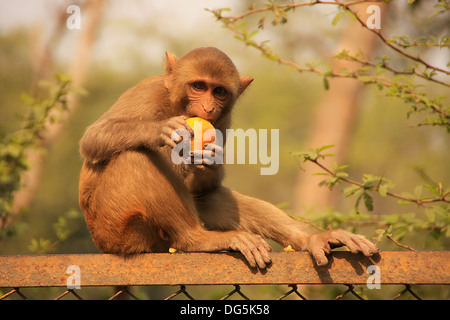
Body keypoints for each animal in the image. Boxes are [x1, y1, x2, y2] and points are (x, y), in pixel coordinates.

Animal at [79, 46, 378, 268]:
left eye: (219, 91)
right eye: (199, 86)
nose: (208, 107)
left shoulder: (224, 119)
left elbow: (206, 185)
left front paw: (210, 162)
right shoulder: (148, 91)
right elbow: (93, 138)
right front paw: (161, 130)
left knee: (212, 196)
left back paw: (313, 239)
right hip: (118, 228)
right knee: (136, 156)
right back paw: (196, 240)